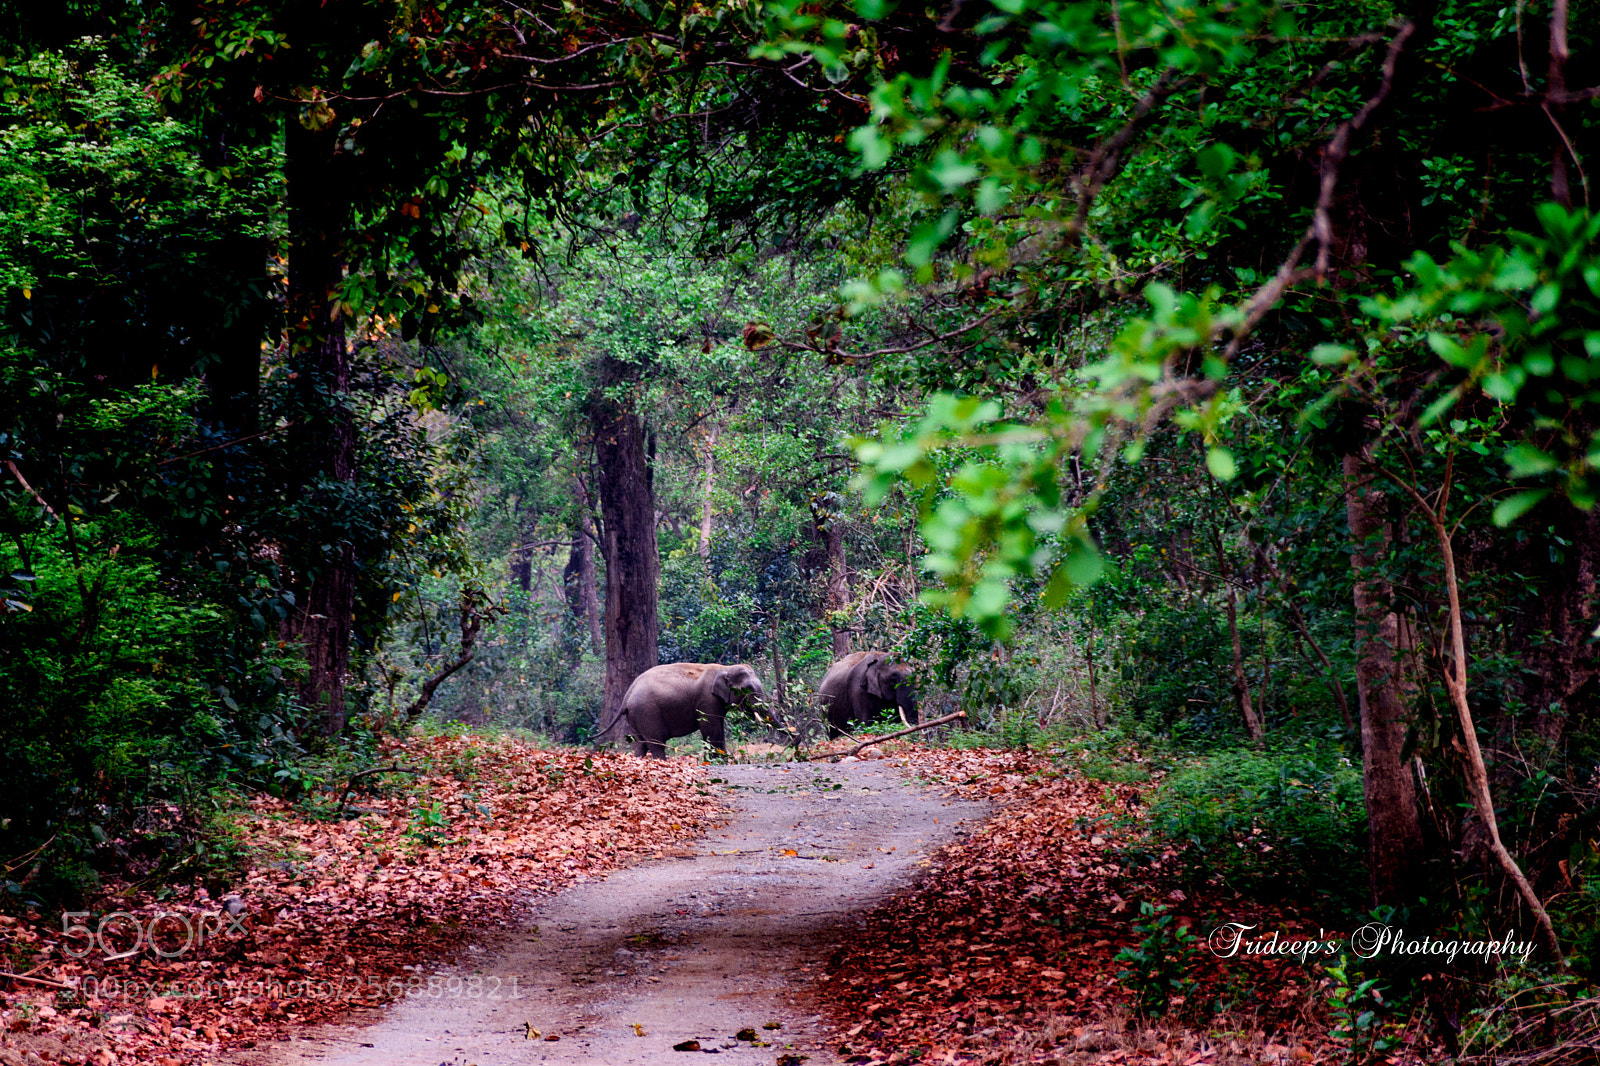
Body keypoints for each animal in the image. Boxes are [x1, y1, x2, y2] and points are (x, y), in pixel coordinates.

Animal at [603, 662, 771, 758]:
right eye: (748, 689)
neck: (725, 668)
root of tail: (627, 695)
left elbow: (718, 727)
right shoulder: (707, 700)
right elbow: (711, 729)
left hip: (635, 716)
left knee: (640, 743)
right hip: (647, 713)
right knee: (656, 742)